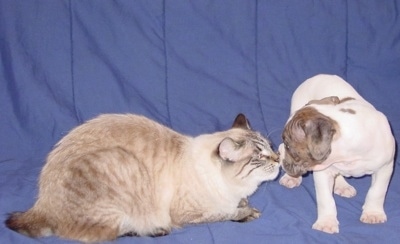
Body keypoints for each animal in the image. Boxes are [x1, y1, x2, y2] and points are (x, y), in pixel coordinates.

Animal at [4, 113, 280, 242]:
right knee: (101, 234)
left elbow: (238, 204)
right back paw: (155, 230)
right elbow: (226, 212)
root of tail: (40, 204)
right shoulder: (189, 214)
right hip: (120, 165)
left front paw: (247, 206)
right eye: (259, 157)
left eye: (270, 147)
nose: (278, 159)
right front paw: (247, 213)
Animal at [280, 75, 396, 234]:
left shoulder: (385, 168)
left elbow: (377, 192)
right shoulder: (322, 172)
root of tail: (318, 76)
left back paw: (342, 185)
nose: (280, 153)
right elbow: (325, 200)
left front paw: (373, 213)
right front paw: (326, 222)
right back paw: (291, 178)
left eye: (288, 146)